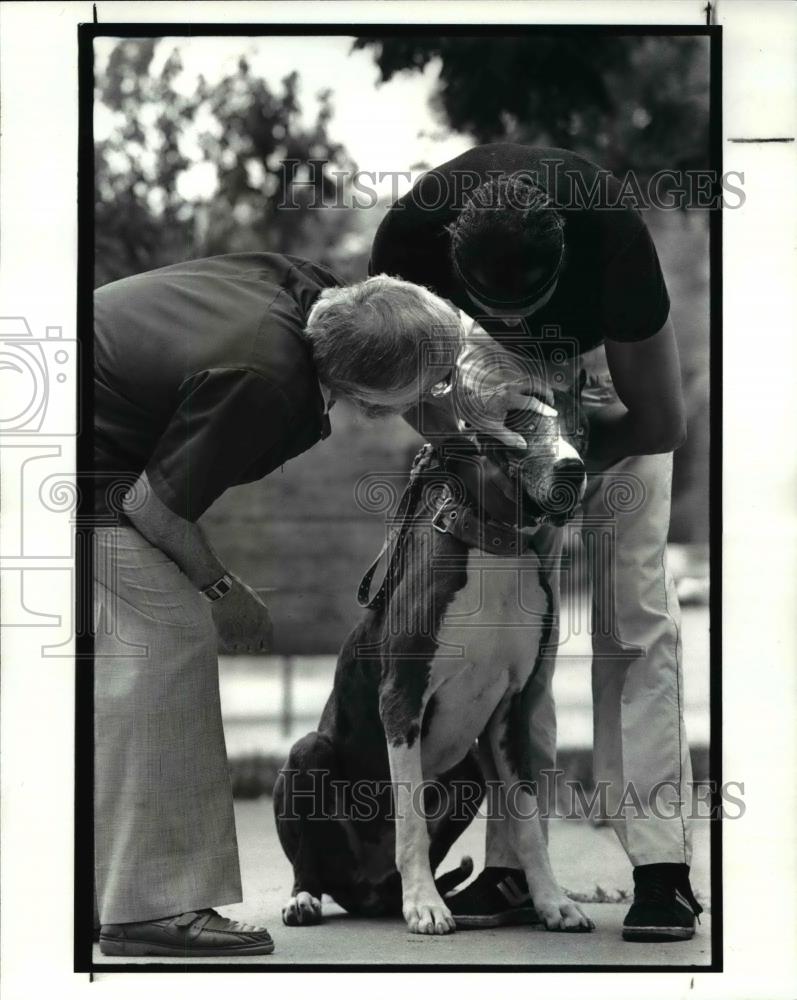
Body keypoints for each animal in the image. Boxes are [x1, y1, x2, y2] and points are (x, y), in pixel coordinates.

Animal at [274, 386, 592, 932]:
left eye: (578, 425)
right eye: (517, 420)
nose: (573, 468)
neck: (496, 550)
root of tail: (362, 891)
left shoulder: (513, 711)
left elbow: (528, 823)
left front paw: (553, 902)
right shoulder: (402, 697)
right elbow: (411, 820)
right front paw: (424, 903)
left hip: (468, 774)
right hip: (307, 754)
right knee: (307, 858)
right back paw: (308, 899)